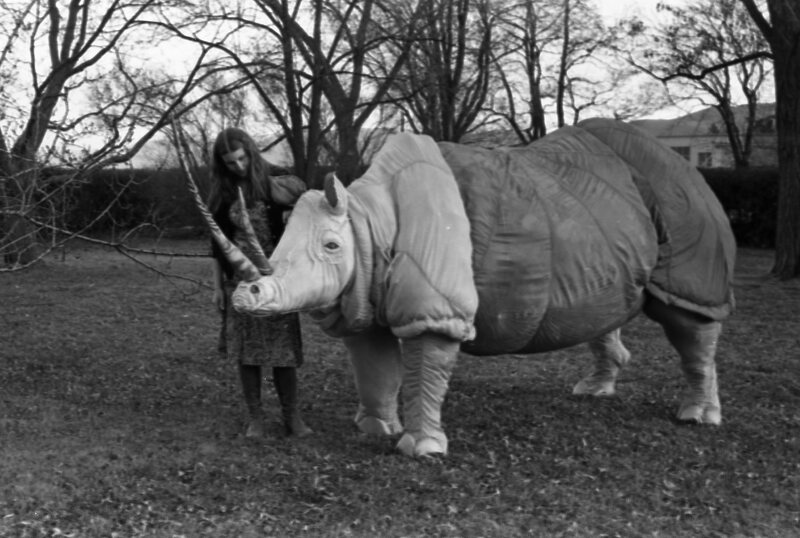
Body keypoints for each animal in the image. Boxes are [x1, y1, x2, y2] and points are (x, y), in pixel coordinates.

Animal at [195, 118, 736, 458]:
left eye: (331, 246)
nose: (246, 297)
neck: (368, 222)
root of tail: (688, 169)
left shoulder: (431, 306)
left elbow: (424, 371)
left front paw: (419, 449)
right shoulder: (364, 296)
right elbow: (375, 368)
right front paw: (372, 429)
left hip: (686, 208)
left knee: (688, 317)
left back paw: (696, 418)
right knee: (611, 306)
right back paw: (594, 391)